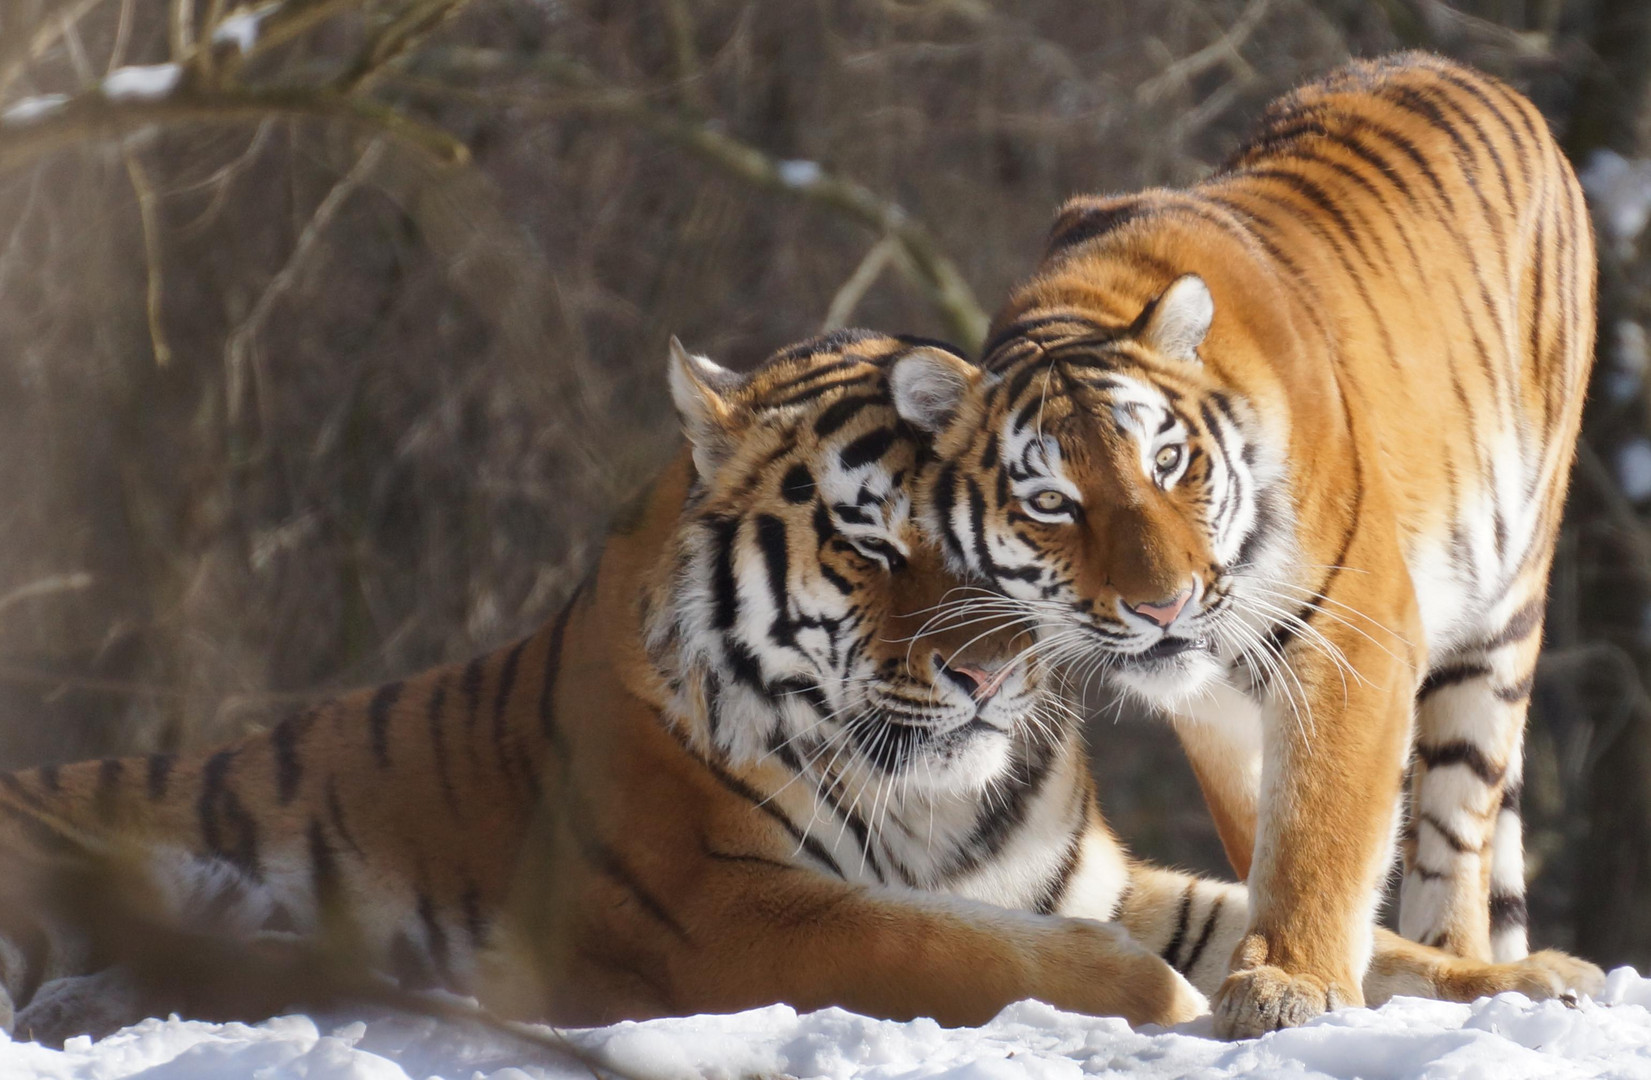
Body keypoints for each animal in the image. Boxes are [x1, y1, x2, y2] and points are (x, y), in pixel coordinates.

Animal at [0, 331, 1598, 1050]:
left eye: (993, 531)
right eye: (872, 541)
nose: (986, 672)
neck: (935, 791)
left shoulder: (1085, 874)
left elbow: (1316, 932)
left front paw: (1535, 979)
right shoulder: (713, 912)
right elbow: (960, 949)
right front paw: (1148, 997)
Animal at [891, 54, 1598, 1043]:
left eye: (1166, 461)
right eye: (1050, 503)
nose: (1161, 605)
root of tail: (1458, 70)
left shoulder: (1351, 636)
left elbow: (1320, 827)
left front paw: (1288, 982)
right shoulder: (1209, 705)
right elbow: (1264, 826)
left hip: (1498, 620)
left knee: (1456, 836)